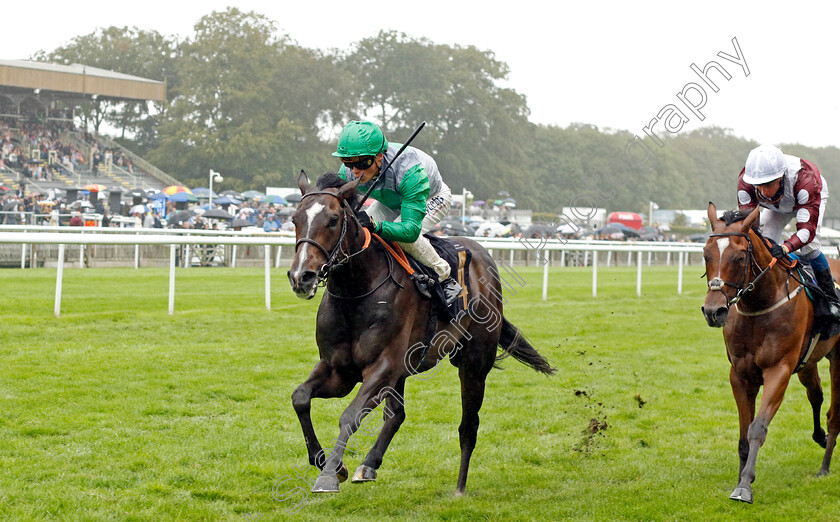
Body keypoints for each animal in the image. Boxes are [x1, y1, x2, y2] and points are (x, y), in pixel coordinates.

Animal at [286, 173, 556, 494]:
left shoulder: (383, 367)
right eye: (294, 218)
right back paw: (369, 465)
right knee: (397, 414)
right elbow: (300, 397)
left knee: (468, 425)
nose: (302, 276)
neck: (357, 292)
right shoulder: (339, 370)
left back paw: (459, 488)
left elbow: (350, 416)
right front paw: (331, 464)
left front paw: (328, 475)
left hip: (474, 364)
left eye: (333, 219)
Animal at [700, 201, 836, 502]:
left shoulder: (779, 370)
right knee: (816, 394)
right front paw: (740, 477)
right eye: (705, 254)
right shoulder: (740, 374)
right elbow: (742, 435)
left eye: (740, 257)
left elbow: (757, 428)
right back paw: (820, 437)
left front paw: (745, 486)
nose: (714, 311)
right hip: (809, 362)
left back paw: (824, 466)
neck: (759, 304)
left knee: (835, 414)